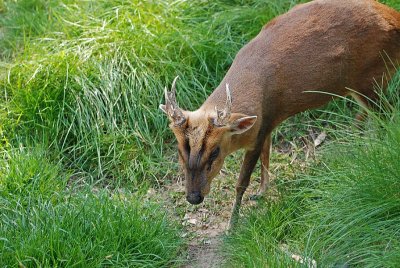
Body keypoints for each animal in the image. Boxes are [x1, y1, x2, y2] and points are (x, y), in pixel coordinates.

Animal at [159, 0, 400, 226]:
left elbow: (242, 181)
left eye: (215, 151)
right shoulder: (268, 122)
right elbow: (267, 157)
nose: (193, 197)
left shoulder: (258, 132)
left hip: (371, 78)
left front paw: (232, 224)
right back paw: (353, 143)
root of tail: (394, 18)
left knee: (388, 115)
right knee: (369, 114)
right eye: (180, 150)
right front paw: (261, 193)